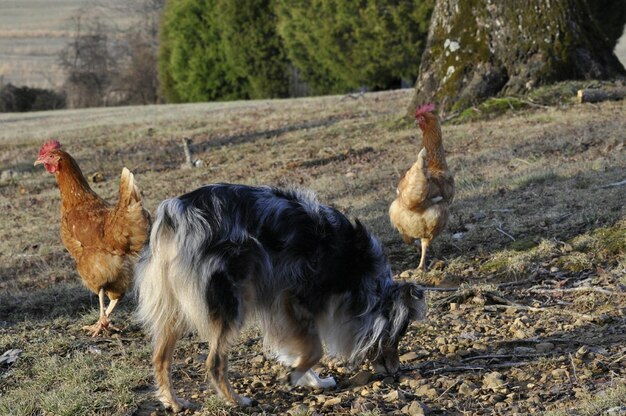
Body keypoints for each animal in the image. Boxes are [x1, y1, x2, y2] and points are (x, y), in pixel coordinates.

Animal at [135, 184, 424, 410]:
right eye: (395, 338)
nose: (396, 372)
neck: (359, 271)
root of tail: (176, 214)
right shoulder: (293, 299)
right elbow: (315, 349)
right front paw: (294, 376)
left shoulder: (283, 309)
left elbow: (301, 348)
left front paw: (312, 379)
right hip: (232, 302)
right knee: (214, 362)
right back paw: (237, 401)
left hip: (174, 308)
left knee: (160, 358)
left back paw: (172, 401)